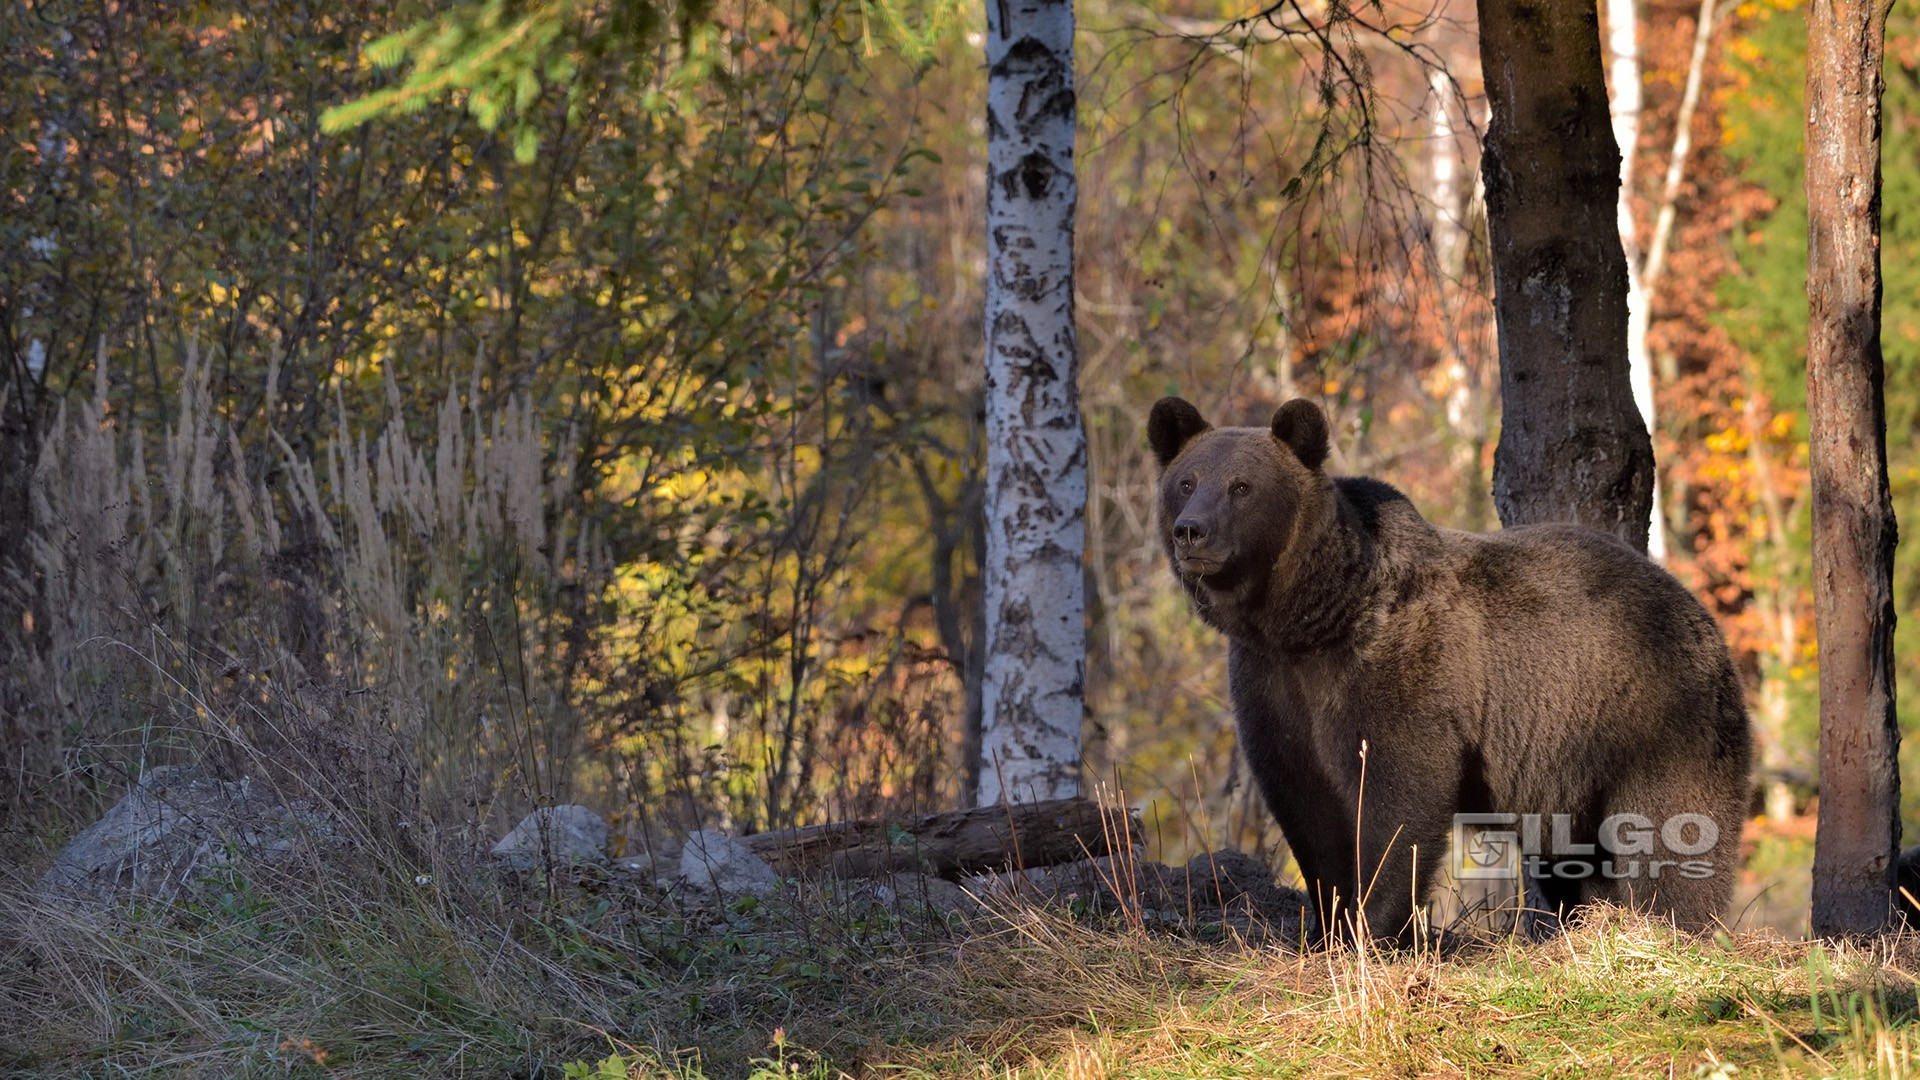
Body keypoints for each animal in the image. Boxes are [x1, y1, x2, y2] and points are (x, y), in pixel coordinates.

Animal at [1148, 395, 1752, 945]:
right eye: (1186, 482)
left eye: (1242, 486)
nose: (1191, 531)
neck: (1308, 621)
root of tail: (1699, 611)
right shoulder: (1273, 688)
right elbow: (1307, 809)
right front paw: (1329, 929)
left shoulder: (1398, 676)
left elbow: (1400, 800)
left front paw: (1375, 929)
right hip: (1574, 767)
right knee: (1570, 858)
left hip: (1651, 719)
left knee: (1672, 833)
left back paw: (1674, 928)